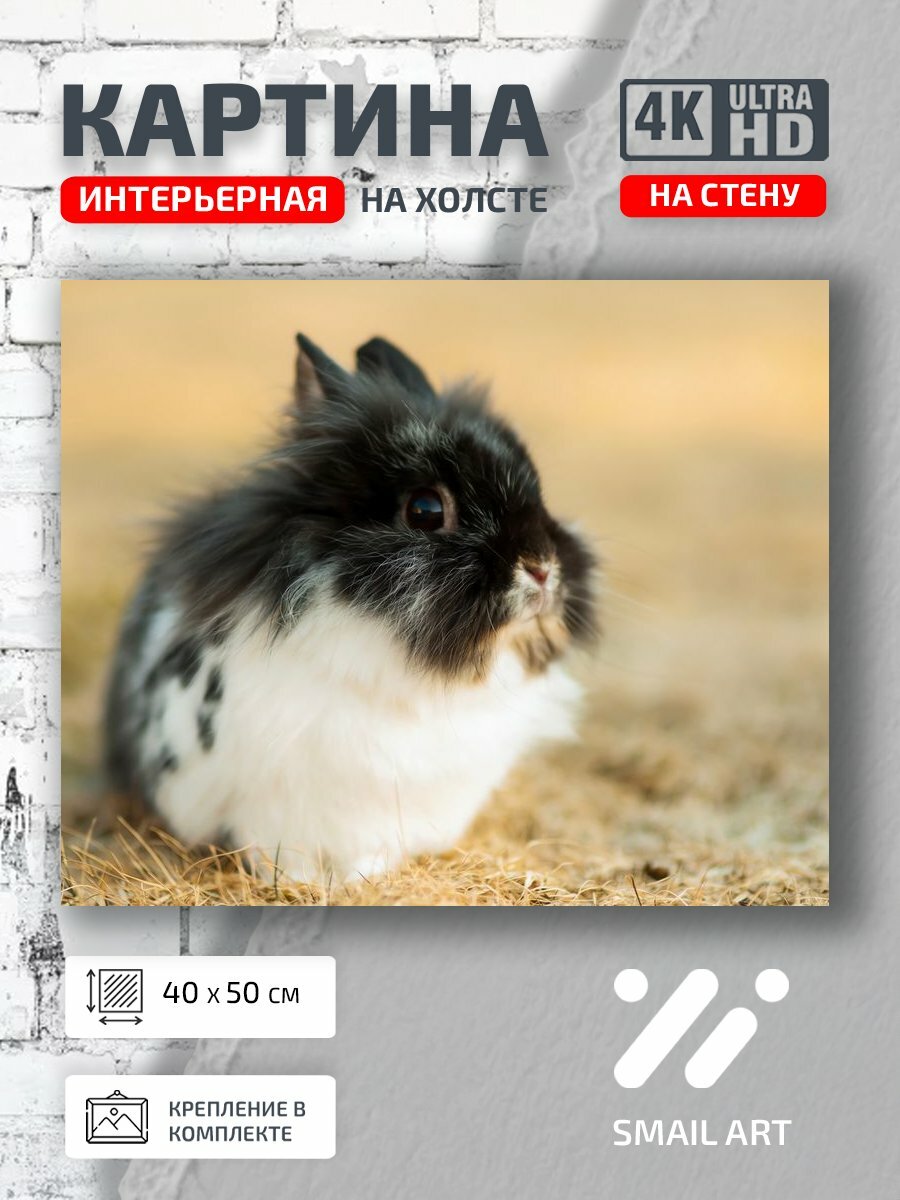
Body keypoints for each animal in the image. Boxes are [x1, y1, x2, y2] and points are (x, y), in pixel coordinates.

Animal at [103, 332, 598, 883]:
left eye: (539, 491)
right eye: (425, 510)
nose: (543, 567)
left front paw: (364, 879)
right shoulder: (269, 802)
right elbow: (279, 851)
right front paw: (300, 884)